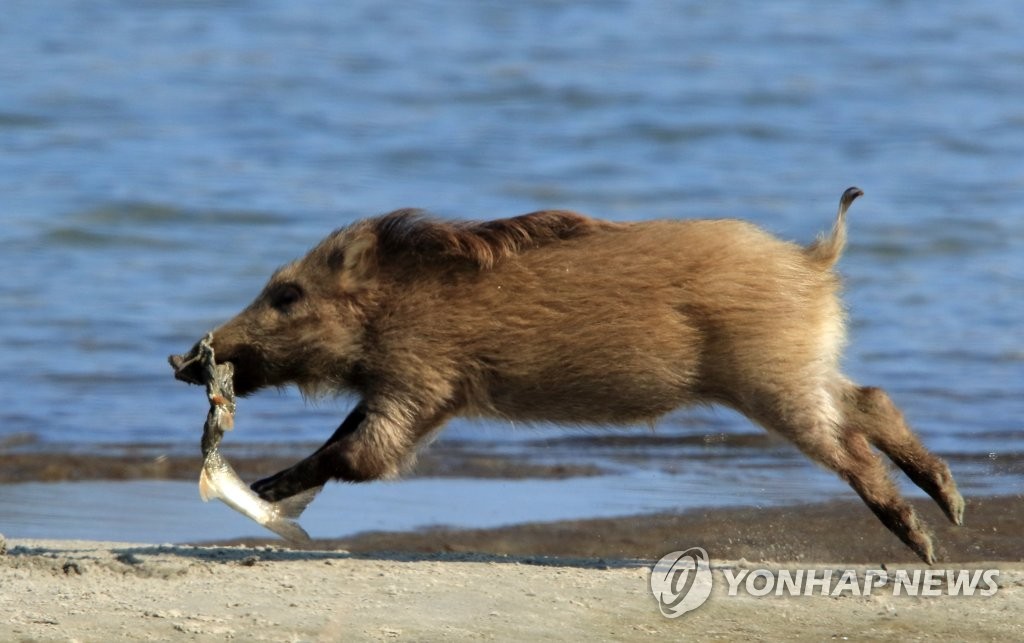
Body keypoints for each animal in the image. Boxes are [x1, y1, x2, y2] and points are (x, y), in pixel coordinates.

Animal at [170, 187, 963, 564]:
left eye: (287, 295)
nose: (182, 358)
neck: (394, 299)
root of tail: (814, 258)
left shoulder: (420, 382)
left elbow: (353, 454)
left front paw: (263, 487)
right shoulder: (427, 397)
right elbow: (349, 443)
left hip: (775, 383)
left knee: (852, 446)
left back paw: (929, 539)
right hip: (799, 372)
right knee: (872, 399)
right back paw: (952, 508)